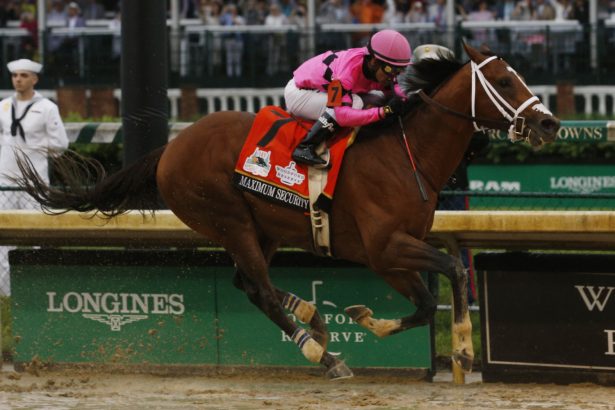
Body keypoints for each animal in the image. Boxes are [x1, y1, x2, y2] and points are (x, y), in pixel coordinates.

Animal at [16, 44, 560, 378]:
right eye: (503, 81)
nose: (550, 123)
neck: (408, 154)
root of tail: (170, 147)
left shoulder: (391, 254)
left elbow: (431, 298)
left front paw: (381, 323)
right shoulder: (384, 248)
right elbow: (449, 268)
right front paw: (463, 350)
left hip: (265, 227)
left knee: (248, 282)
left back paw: (312, 316)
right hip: (230, 220)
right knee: (258, 288)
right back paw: (320, 351)